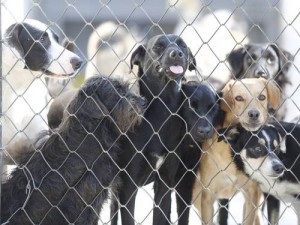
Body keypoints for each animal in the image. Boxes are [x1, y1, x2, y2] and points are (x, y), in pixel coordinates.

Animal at [110, 33, 197, 225]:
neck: (162, 106)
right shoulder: (128, 187)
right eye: (158, 46)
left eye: (182, 45)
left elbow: (160, 216)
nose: (177, 53)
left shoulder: (164, 183)